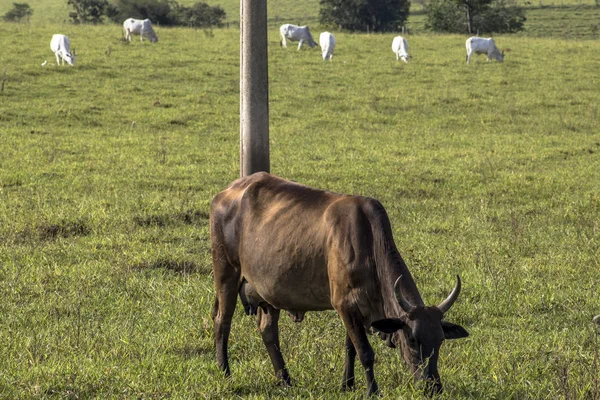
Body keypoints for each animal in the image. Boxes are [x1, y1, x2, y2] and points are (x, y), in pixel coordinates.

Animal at [210, 173, 468, 396]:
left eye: (440, 340)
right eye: (413, 340)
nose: (433, 387)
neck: (369, 243)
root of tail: (226, 192)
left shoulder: (357, 310)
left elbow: (350, 347)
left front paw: (347, 384)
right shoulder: (344, 305)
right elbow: (365, 352)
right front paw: (372, 391)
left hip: (269, 292)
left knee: (268, 332)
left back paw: (285, 379)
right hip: (226, 274)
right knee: (223, 322)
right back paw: (225, 372)